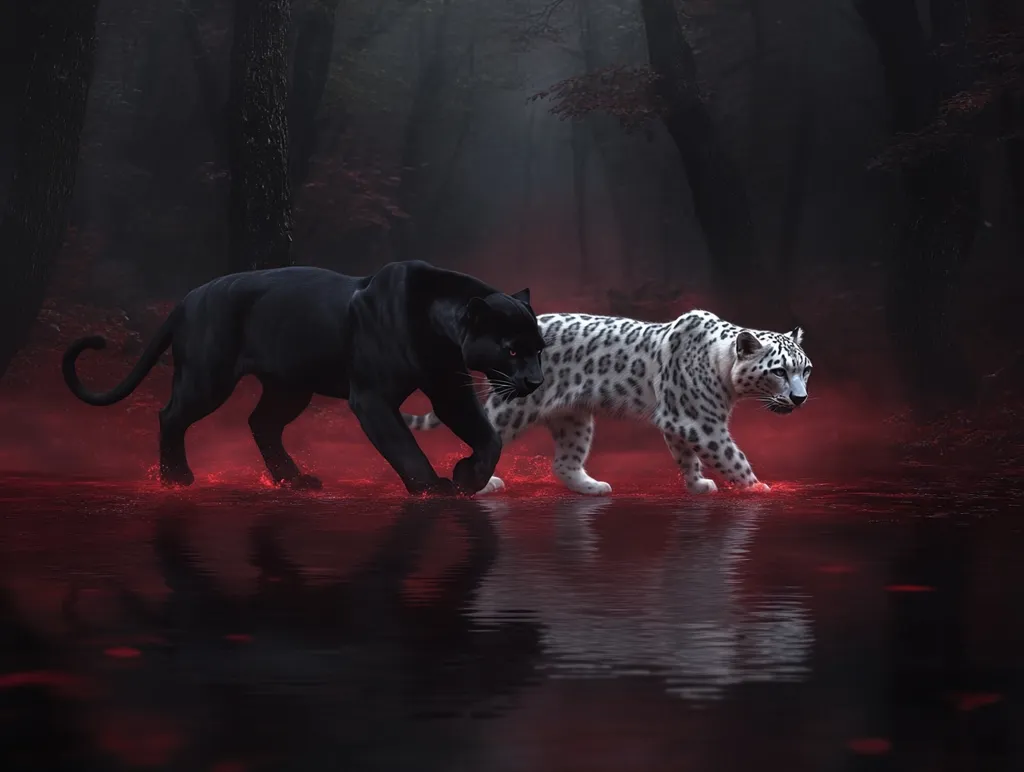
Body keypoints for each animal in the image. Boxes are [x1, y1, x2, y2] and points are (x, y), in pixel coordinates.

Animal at [402, 309, 812, 496]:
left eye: (805, 369)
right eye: (779, 371)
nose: (800, 398)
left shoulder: (681, 421)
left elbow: (687, 456)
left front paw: (697, 484)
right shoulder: (700, 422)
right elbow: (731, 455)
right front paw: (757, 488)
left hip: (574, 419)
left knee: (564, 462)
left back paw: (594, 487)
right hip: (513, 409)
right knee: (485, 437)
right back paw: (483, 484)